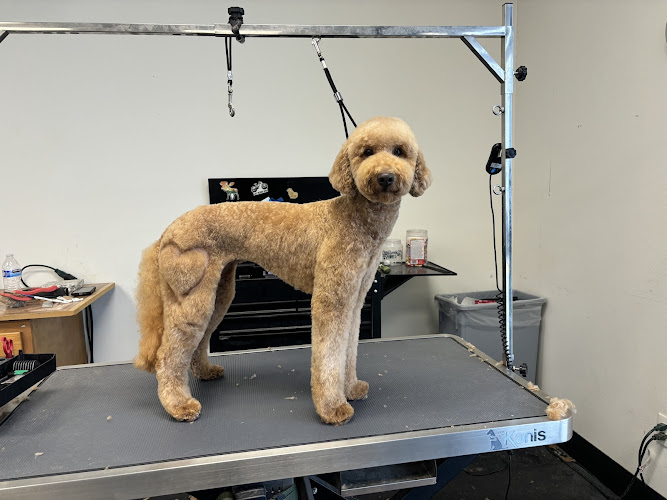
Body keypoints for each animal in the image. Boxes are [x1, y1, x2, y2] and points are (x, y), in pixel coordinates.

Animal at [135, 116, 432, 424]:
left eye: (399, 151)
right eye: (367, 152)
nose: (385, 177)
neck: (353, 219)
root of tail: (167, 232)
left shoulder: (355, 298)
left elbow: (349, 348)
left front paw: (350, 388)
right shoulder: (331, 299)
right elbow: (329, 354)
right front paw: (332, 407)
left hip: (219, 291)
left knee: (198, 341)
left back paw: (204, 372)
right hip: (191, 294)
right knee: (168, 353)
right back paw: (178, 404)